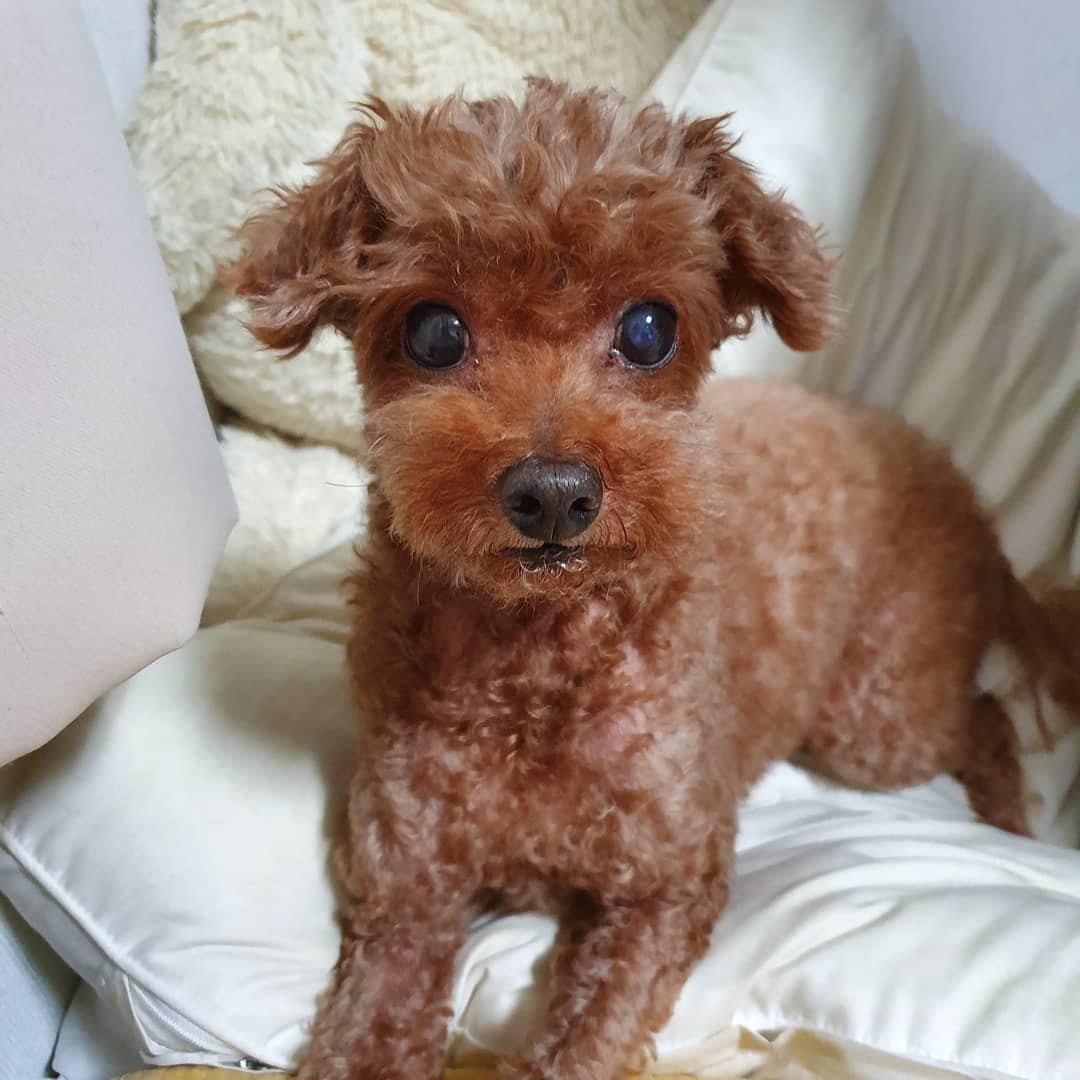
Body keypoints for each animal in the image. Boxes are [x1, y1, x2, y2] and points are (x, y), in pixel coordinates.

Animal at [227, 80, 1080, 1080]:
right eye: (434, 332)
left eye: (648, 329)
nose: (554, 494)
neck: (536, 662)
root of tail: (971, 505)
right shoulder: (406, 899)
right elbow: (368, 1028)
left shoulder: (667, 883)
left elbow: (587, 1038)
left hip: (873, 717)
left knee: (980, 715)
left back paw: (1007, 819)